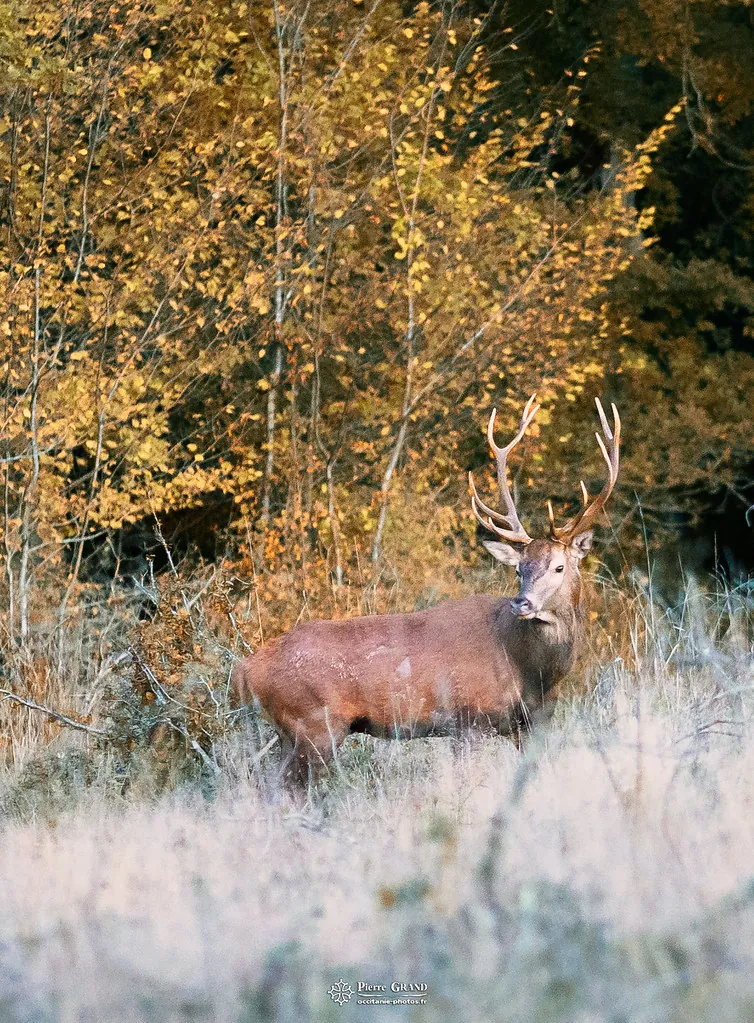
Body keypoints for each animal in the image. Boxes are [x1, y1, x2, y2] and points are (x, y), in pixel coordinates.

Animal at [232, 394, 621, 781]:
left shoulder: (532, 722)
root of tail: (248, 669)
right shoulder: (470, 718)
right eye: (518, 569)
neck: (533, 672)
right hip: (314, 725)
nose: (521, 603)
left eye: (558, 566)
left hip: (294, 734)